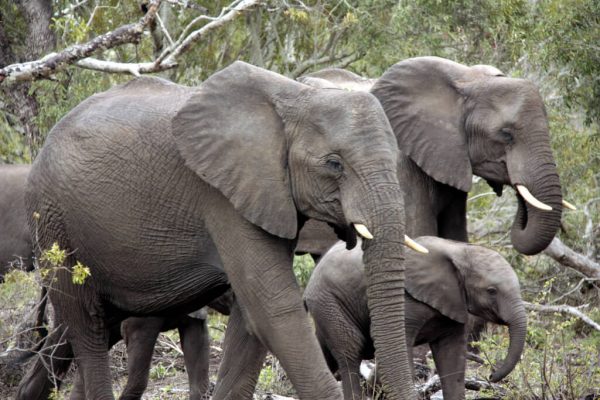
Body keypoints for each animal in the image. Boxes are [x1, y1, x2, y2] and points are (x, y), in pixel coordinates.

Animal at [24, 61, 418, 400]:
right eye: (334, 164)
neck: (295, 97)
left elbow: (250, 321)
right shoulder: (222, 197)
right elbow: (272, 309)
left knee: (79, 331)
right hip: (56, 223)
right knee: (86, 327)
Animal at [304, 236, 524, 398]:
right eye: (491, 291)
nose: (491, 375)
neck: (458, 249)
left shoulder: (454, 303)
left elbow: (451, 357)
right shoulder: (404, 301)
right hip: (328, 301)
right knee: (350, 350)